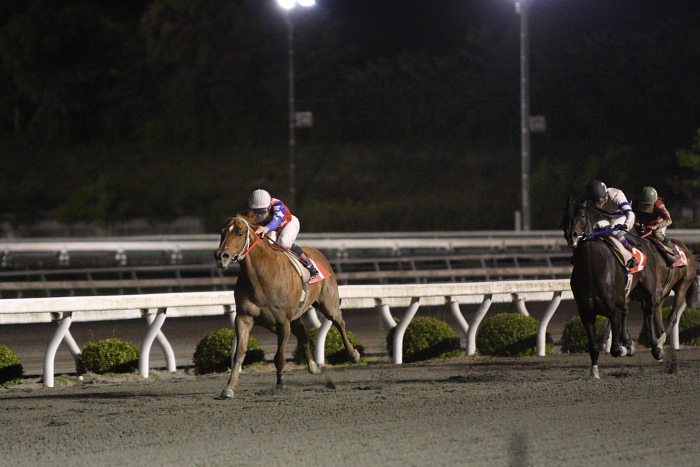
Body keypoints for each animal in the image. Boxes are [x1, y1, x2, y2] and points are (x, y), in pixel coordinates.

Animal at [215, 212, 360, 398]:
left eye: (239, 233)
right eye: (222, 232)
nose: (221, 256)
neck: (262, 277)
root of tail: (318, 253)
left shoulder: (283, 322)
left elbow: (279, 357)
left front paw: (280, 383)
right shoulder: (244, 318)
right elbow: (239, 353)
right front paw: (229, 388)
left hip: (328, 303)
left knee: (339, 322)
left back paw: (353, 355)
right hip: (296, 315)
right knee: (304, 336)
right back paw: (314, 367)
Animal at [564, 199, 696, 378]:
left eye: (582, 215)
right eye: (565, 214)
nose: (571, 235)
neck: (593, 268)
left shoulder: (614, 308)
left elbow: (615, 349)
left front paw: (628, 347)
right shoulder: (586, 312)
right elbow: (594, 347)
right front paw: (595, 372)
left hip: (675, 286)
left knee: (659, 313)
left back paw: (657, 346)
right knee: (650, 312)